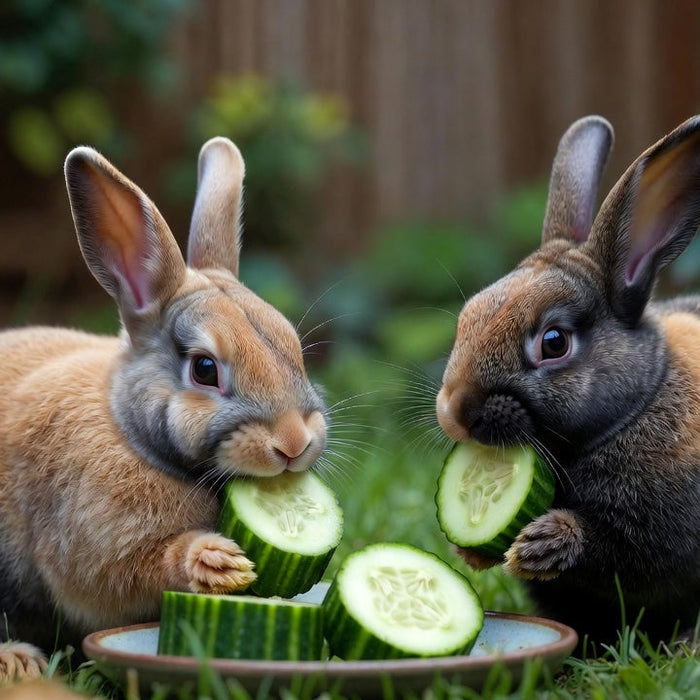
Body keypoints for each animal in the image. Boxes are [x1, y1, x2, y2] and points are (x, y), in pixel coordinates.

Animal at [0, 137, 327, 682]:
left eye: (293, 348)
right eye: (204, 369)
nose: (294, 443)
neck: (131, 434)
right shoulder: (94, 553)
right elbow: (131, 572)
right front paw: (216, 562)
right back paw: (19, 662)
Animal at [436, 114, 700, 645]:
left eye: (554, 342)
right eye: (469, 314)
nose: (453, 412)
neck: (635, 406)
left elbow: (618, 550)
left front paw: (544, 544)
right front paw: (472, 550)